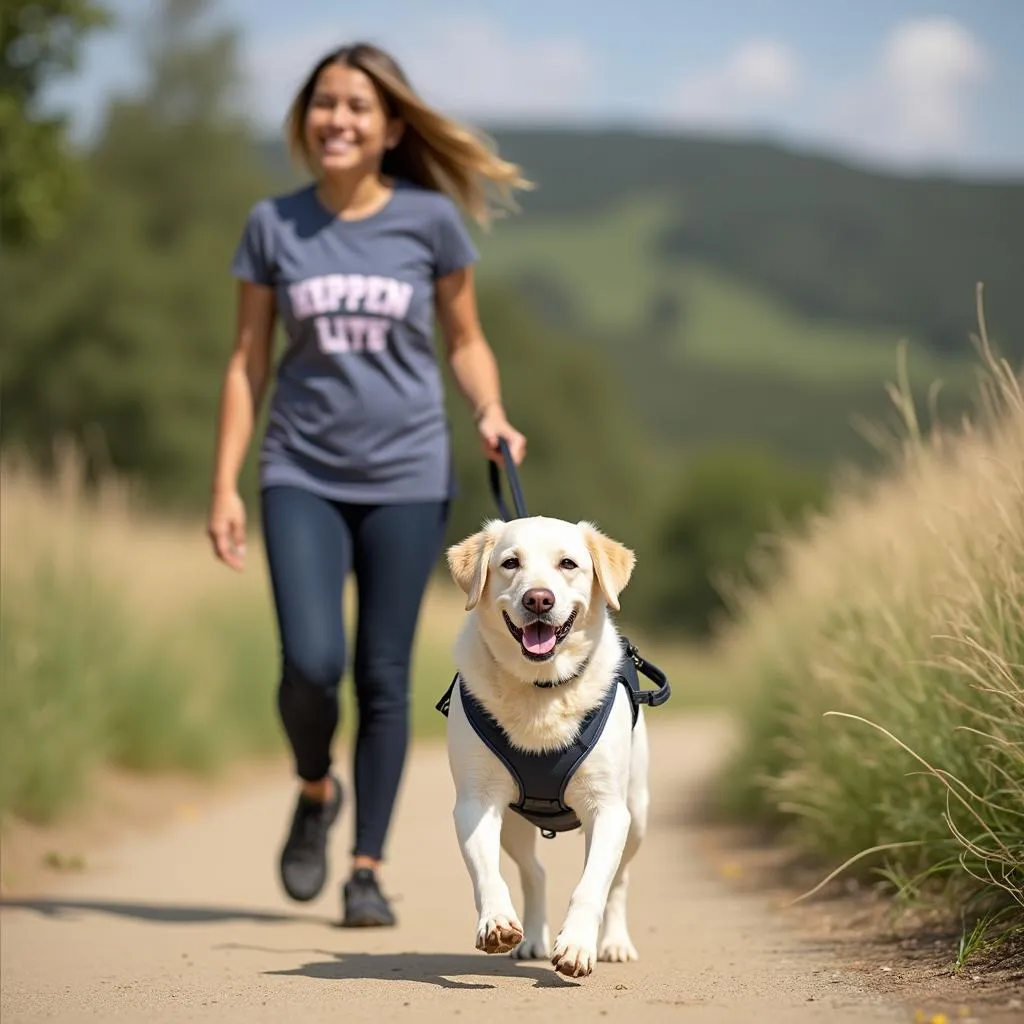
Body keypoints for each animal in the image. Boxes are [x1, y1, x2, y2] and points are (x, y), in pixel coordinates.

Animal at [438, 516, 647, 978]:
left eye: (568, 564)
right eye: (510, 563)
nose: (537, 598)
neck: (541, 689)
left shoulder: (608, 808)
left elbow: (592, 886)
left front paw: (577, 947)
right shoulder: (475, 802)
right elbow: (487, 872)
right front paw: (497, 922)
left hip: (637, 813)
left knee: (619, 879)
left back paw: (616, 943)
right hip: (514, 825)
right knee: (534, 872)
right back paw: (532, 937)